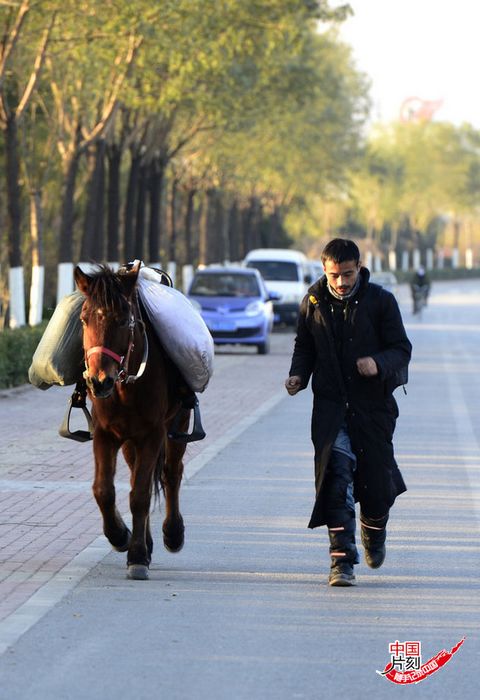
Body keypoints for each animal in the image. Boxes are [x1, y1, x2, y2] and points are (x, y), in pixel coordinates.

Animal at [74, 262, 190, 580]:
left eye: (124, 320)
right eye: (84, 319)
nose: (99, 381)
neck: (127, 386)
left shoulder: (152, 434)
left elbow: (140, 494)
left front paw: (136, 556)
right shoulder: (105, 434)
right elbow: (103, 490)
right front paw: (120, 535)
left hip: (178, 423)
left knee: (171, 472)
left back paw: (172, 534)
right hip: (128, 440)